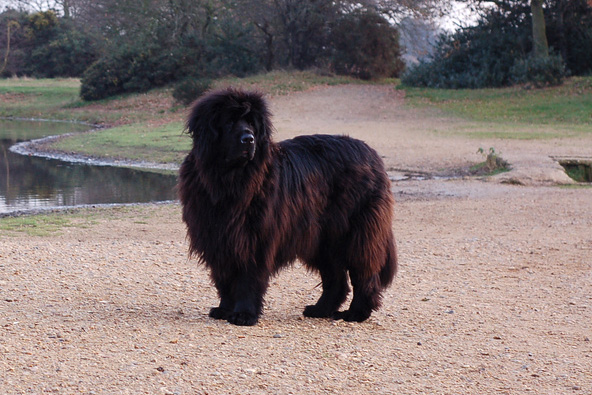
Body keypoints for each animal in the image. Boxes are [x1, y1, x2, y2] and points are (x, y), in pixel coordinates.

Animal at [177, 89, 398, 328]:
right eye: (229, 121)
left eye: (251, 124)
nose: (249, 139)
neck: (229, 179)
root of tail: (372, 154)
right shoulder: (217, 237)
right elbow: (224, 278)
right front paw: (224, 309)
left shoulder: (254, 239)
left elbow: (248, 279)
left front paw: (244, 314)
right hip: (322, 239)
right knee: (336, 279)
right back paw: (320, 309)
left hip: (357, 233)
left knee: (364, 273)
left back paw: (356, 313)